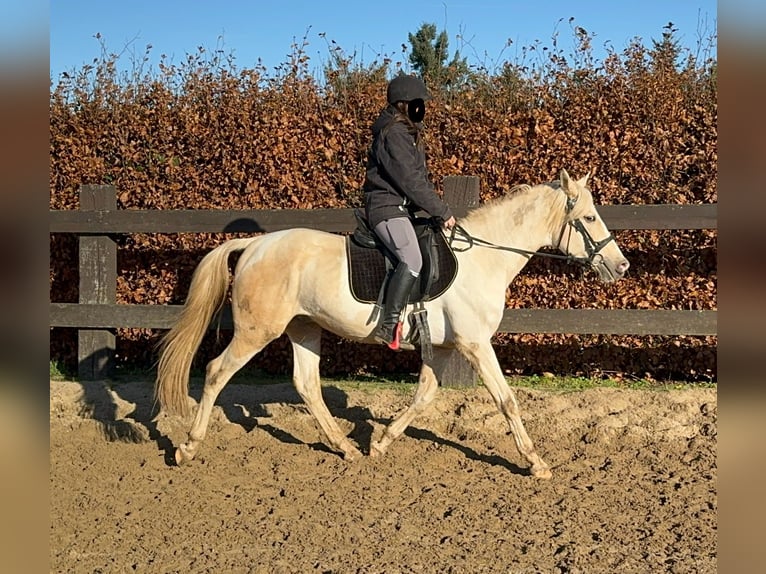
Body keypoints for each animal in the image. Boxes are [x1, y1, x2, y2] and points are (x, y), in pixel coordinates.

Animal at [154, 170, 632, 482]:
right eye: (590, 218)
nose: (621, 266)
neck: (484, 258)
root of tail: (255, 245)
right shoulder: (476, 345)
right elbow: (507, 400)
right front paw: (536, 463)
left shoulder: (443, 348)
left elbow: (423, 398)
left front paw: (381, 442)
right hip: (257, 331)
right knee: (216, 372)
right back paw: (187, 447)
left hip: (305, 328)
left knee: (307, 384)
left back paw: (346, 448)